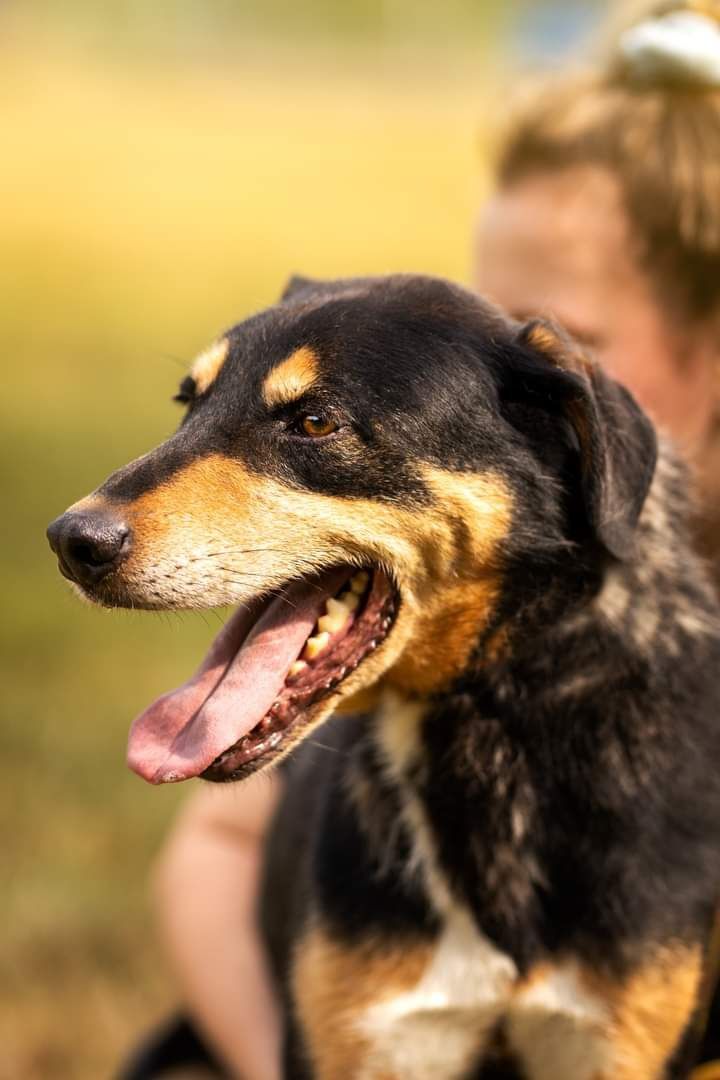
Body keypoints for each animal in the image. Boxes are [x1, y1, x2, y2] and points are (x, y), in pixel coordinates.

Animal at [47, 274, 720, 1075]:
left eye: (314, 421)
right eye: (189, 402)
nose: (71, 542)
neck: (480, 731)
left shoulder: (615, 1043)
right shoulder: (364, 1038)